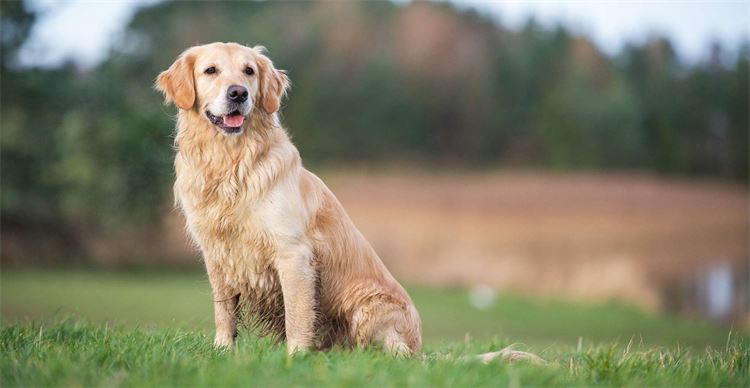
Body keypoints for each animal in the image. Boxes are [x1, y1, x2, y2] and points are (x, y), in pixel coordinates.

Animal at [154, 42, 424, 354]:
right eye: (211, 70)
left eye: (249, 71)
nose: (238, 93)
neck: (230, 161)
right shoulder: (216, 252)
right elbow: (224, 309)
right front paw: (223, 348)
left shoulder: (293, 253)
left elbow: (297, 314)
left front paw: (295, 355)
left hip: (369, 307)